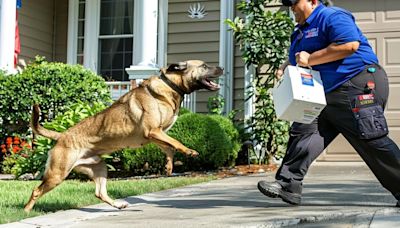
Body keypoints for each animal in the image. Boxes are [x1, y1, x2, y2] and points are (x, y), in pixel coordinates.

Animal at [24, 60, 225, 212]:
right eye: (204, 65)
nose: (222, 68)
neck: (170, 86)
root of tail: (61, 136)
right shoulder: (153, 131)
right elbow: (175, 142)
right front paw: (189, 151)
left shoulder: (156, 134)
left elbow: (169, 147)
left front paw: (169, 166)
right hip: (57, 173)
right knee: (36, 191)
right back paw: (25, 211)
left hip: (99, 167)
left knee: (99, 193)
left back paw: (118, 205)